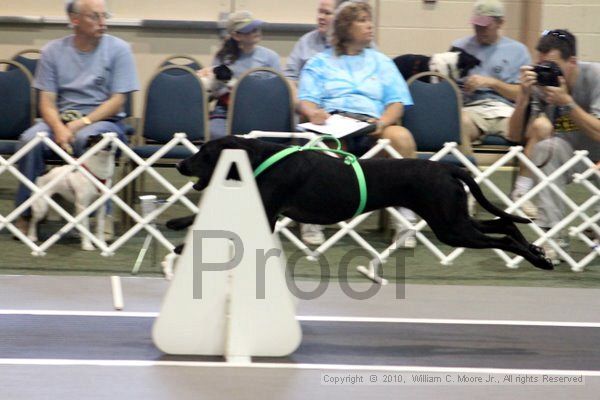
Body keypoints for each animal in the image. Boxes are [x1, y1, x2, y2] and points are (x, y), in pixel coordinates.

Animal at [169, 136, 552, 270]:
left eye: (204, 153)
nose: (180, 165)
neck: (258, 158)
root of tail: (447, 166)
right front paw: (175, 228)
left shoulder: (266, 211)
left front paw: (178, 240)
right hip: (453, 218)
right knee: (505, 224)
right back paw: (538, 252)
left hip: (450, 226)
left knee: (502, 236)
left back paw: (540, 260)